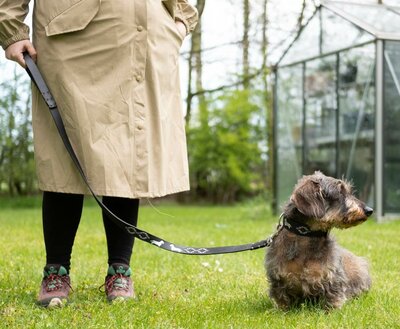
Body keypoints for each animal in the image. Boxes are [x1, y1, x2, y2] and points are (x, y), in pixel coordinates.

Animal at [266, 170, 372, 308]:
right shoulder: (278, 278)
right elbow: (282, 300)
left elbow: (333, 297)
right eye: (340, 192)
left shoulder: (332, 277)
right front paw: (282, 309)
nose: (369, 210)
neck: (307, 235)